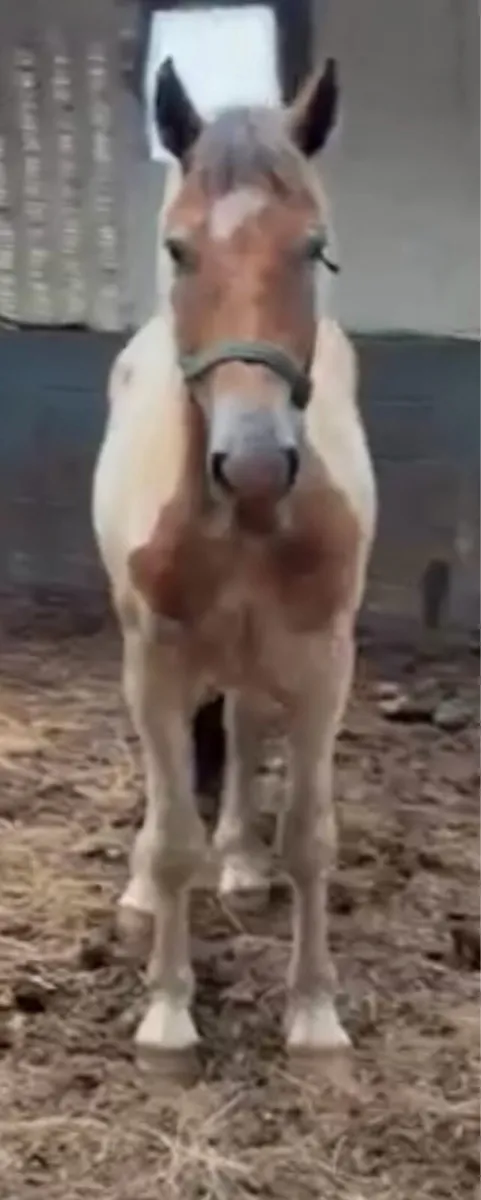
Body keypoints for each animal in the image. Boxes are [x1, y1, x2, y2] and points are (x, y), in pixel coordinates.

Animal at [92, 56, 377, 1077]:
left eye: (315, 250)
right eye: (179, 251)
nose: (253, 465)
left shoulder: (324, 662)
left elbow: (310, 839)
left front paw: (315, 1015)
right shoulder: (156, 658)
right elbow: (176, 838)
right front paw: (168, 1015)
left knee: (249, 727)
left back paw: (244, 868)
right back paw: (145, 896)